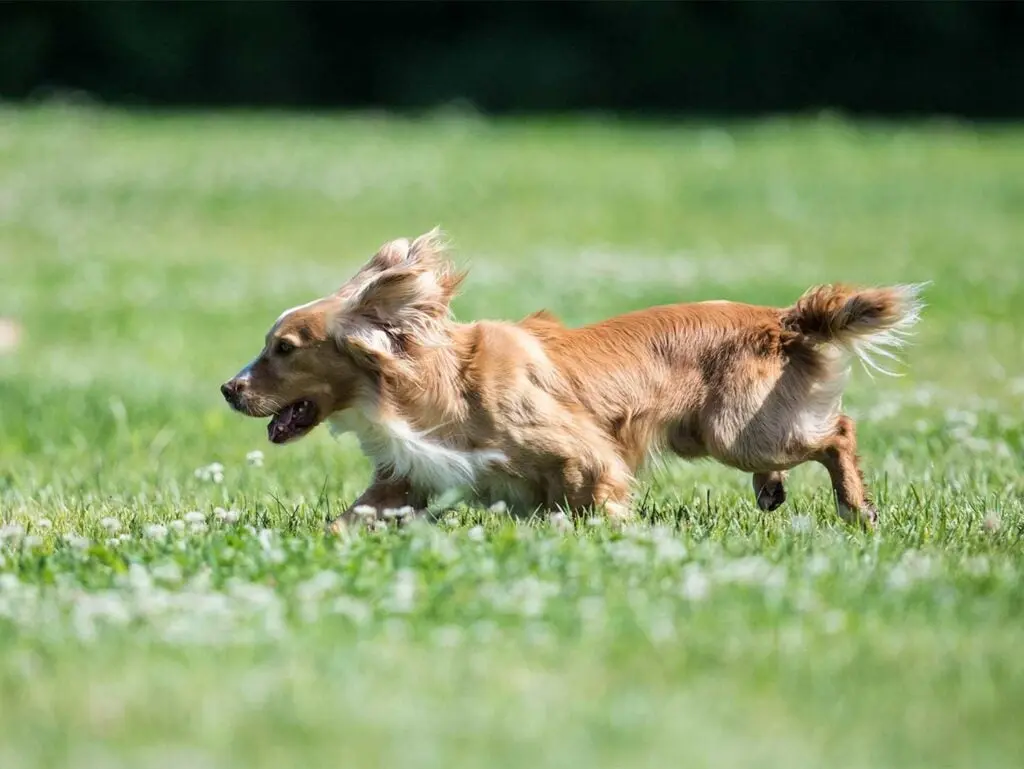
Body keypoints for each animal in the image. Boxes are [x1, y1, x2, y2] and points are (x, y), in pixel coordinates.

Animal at [220, 225, 925, 532]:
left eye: (283, 348)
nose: (228, 389)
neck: (430, 384)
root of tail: (781, 318)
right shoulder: (414, 474)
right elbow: (351, 516)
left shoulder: (587, 451)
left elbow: (593, 496)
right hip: (713, 431)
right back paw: (773, 491)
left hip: (736, 431)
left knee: (838, 430)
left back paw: (856, 508)